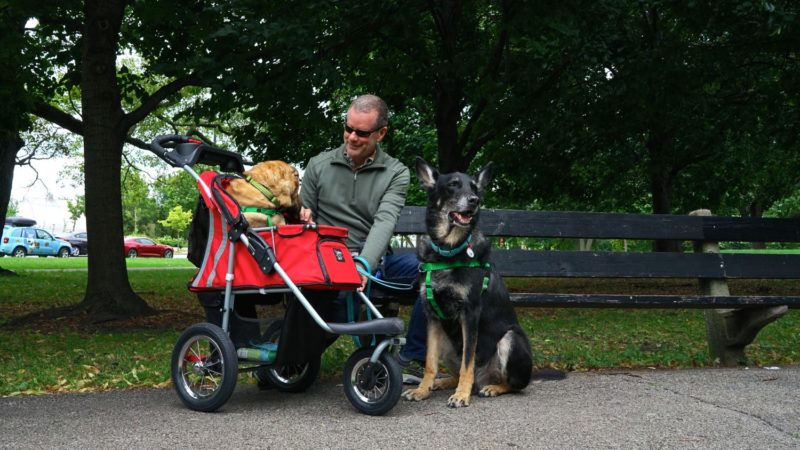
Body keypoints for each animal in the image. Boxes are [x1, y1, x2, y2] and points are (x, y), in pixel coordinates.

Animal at [404, 157, 536, 408]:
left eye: (474, 188)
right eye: (453, 185)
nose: (475, 200)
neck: (448, 252)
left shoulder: (470, 314)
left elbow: (468, 362)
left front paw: (461, 395)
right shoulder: (432, 317)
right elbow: (430, 363)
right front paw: (422, 389)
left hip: (511, 338)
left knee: (514, 384)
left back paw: (491, 387)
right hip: (447, 342)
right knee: (455, 372)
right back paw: (442, 383)